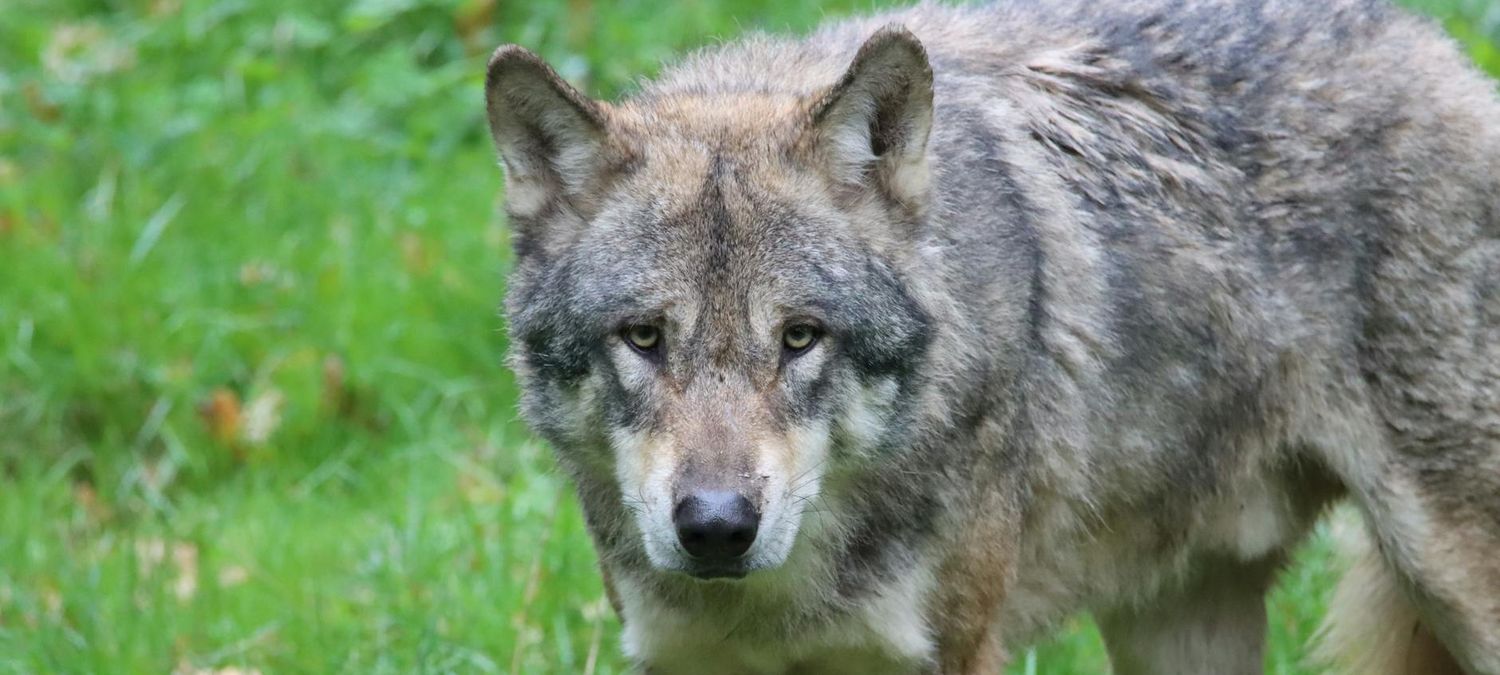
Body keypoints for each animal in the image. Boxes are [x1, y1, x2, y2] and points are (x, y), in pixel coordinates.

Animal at [481, 0, 1500, 672]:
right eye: (644, 336)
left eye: (801, 337)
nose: (718, 527)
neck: (782, 607)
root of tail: (1428, 41)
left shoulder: (959, 648)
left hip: (1452, 578)